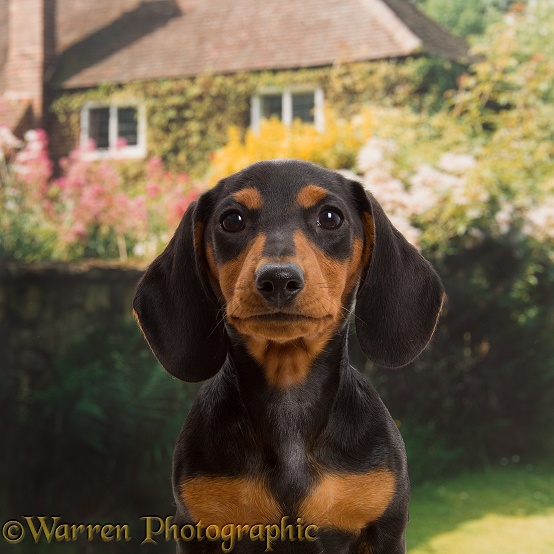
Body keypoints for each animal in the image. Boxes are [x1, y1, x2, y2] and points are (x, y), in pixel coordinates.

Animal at [135, 157, 444, 548]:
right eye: (232, 220)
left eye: (330, 217)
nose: (278, 279)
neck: (289, 402)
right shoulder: (197, 528)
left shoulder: (384, 527)